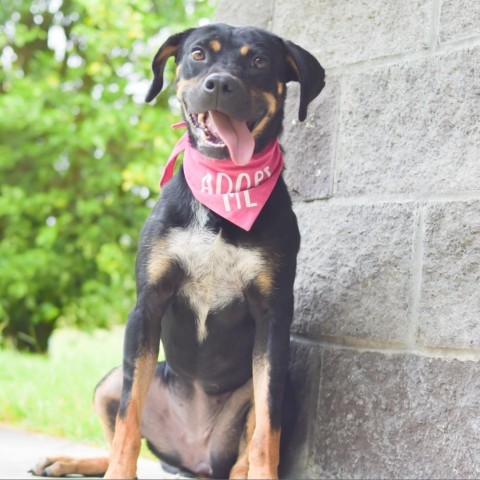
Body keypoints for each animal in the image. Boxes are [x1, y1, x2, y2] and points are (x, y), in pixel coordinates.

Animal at [31, 23, 326, 480]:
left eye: (260, 61)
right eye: (199, 54)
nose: (220, 84)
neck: (222, 191)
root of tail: (193, 459)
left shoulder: (273, 320)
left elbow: (267, 430)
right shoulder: (147, 306)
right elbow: (127, 420)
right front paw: (118, 473)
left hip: (280, 391)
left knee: (249, 441)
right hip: (110, 381)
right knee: (120, 427)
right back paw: (70, 460)